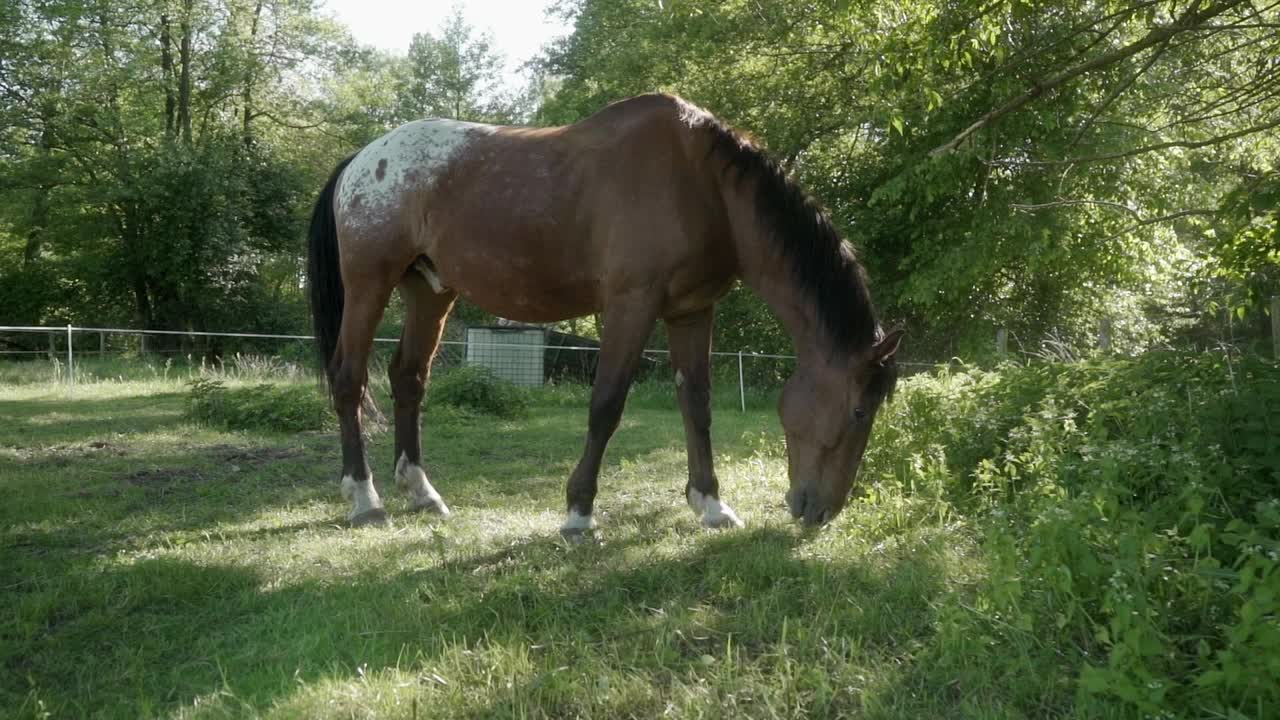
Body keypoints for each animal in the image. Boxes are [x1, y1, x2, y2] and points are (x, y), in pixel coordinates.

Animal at [304, 92, 906, 532]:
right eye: (859, 410)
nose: (819, 511)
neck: (701, 185)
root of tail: (361, 160)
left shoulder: (692, 311)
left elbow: (698, 405)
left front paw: (711, 504)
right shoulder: (629, 306)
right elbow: (607, 405)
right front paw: (579, 512)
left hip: (430, 293)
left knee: (408, 379)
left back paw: (421, 492)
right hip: (369, 285)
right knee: (350, 380)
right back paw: (365, 498)